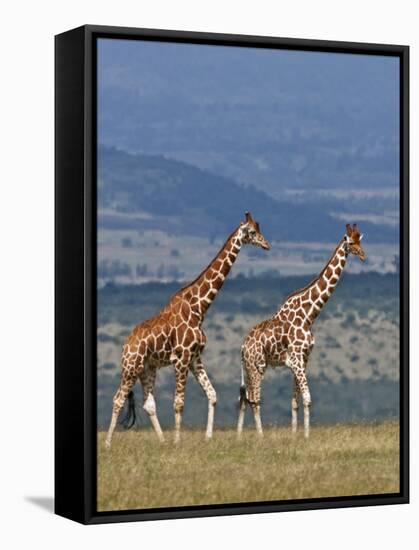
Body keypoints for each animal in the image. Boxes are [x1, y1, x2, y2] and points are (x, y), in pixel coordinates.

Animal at [106, 211, 272, 448]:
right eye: (251, 231)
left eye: (259, 228)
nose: (266, 245)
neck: (199, 308)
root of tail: (126, 346)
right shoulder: (182, 358)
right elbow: (179, 403)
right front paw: (178, 441)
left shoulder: (195, 358)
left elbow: (212, 395)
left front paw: (207, 436)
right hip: (131, 368)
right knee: (118, 399)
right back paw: (109, 443)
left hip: (147, 368)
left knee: (148, 403)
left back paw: (162, 441)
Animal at [238, 224, 366, 440]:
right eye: (351, 242)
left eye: (360, 240)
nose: (363, 255)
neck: (309, 315)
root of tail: (242, 347)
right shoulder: (297, 358)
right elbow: (307, 397)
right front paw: (306, 436)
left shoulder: (303, 359)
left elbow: (295, 401)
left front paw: (296, 435)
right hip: (257, 366)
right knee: (254, 399)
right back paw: (260, 436)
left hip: (249, 368)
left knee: (244, 398)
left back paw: (239, 434)